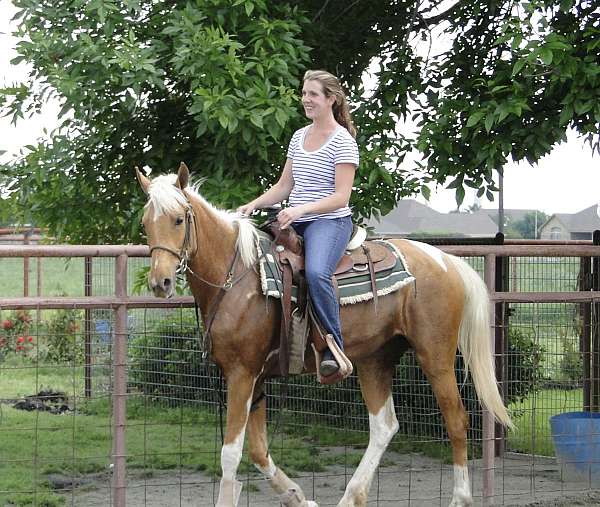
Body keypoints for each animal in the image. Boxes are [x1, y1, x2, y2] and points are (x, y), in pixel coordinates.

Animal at [136, 165, 510, 507]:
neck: (238, 276)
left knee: (456, 419)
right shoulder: (257, 377)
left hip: (435, 355)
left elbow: (231, 453)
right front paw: (297, 496)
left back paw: (460, 497)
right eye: (145, 223)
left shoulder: (242, 373)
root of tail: (445, 260)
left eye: (179, 220)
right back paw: (352, 496)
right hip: (375, 359)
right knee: (384, 425)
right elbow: (258, 450)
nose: (160, 282)